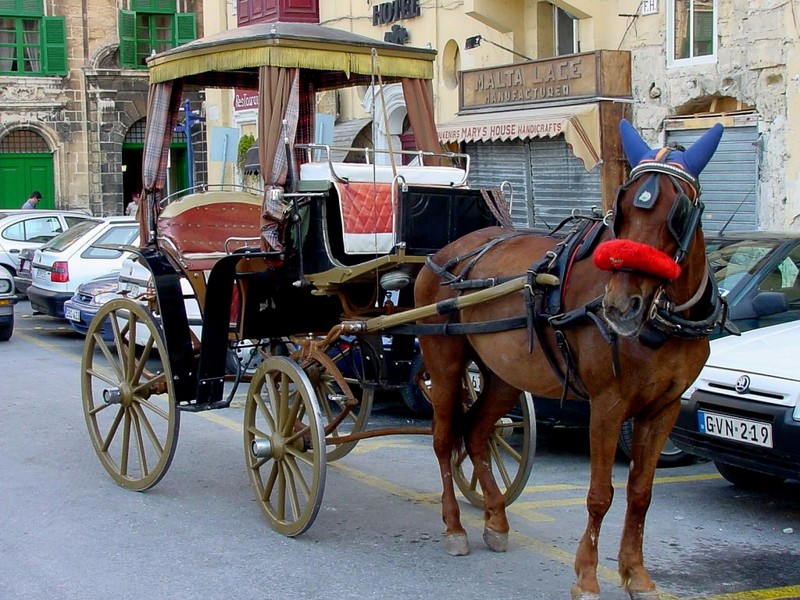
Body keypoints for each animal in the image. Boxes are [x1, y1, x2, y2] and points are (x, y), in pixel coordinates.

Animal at [416, 118, 728, 600]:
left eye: (677, 213)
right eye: (623, 209)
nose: (620, 306)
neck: (662, 321)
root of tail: (442, 256)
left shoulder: (664, 408)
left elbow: (641, 492)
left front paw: (637, 575)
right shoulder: (608, 405)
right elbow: (601, 494)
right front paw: (587, 576)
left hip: (504, 375)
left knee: (477, 434)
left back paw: (496, 519)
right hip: (446, 365)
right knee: (445, 440)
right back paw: (455, 527)